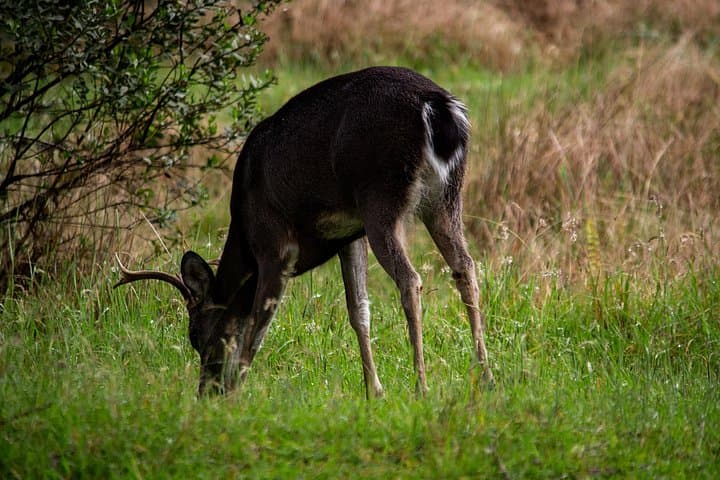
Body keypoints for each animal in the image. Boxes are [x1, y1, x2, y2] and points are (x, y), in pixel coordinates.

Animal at [115, 66, 494, 397]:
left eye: (194, 334)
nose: (207, 390)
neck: (244, 235)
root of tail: (439, 107)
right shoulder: (348, 236)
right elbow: (359, 311)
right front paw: (374, 392)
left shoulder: (274, 246)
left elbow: (258, 323)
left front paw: (236, 393)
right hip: (444, 197)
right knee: (465, 266)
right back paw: (485, 378)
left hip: (380, 195)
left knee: (410, 278)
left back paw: (422, 386)